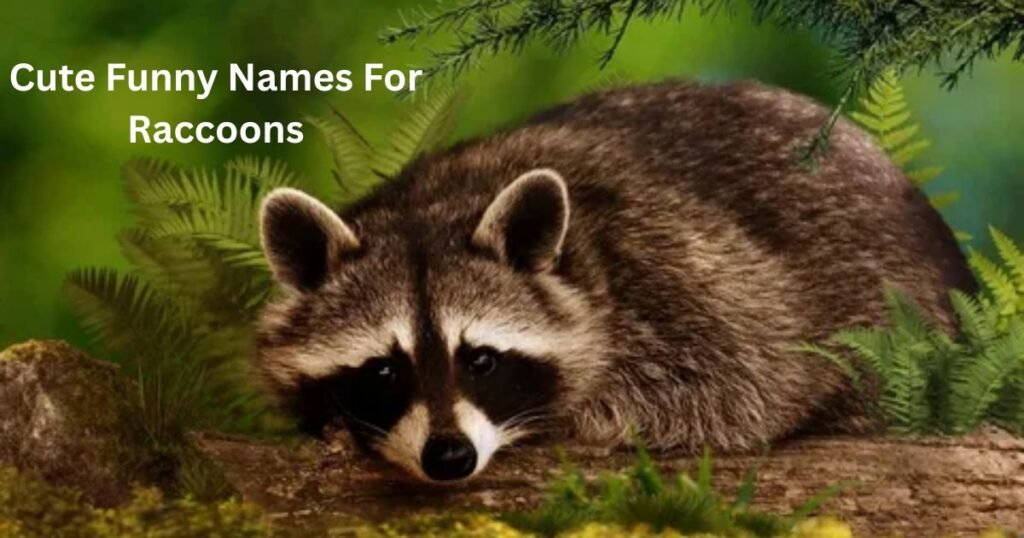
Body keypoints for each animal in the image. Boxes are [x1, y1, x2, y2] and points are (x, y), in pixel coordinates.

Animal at [256, 80, 975, 483]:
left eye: (481, 360)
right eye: (383, 370)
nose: (450, 458)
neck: (434, 205)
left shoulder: (682, 275)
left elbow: (744, 385)